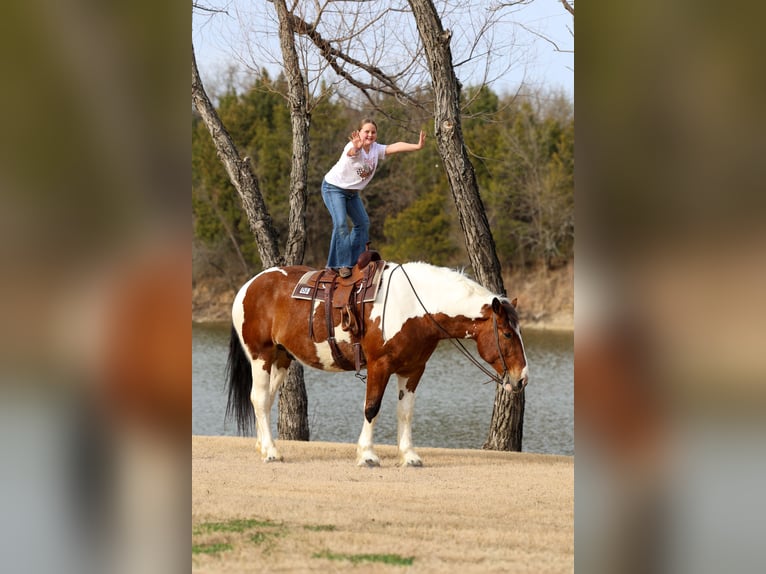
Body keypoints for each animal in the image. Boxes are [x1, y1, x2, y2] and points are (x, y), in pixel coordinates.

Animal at [225, 261, 529, 466]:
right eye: (506, 333)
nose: (522, 377)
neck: (413, 307)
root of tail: (248, 286)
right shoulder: (379, 366)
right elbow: (372, 408)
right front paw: (368, 455)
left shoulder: (413, 370)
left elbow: (405, 412)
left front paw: (409, 456)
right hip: (261, 357)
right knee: (259, 399)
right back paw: (272, 451)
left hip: (281, 358)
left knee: (264, 400)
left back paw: (263, 446)